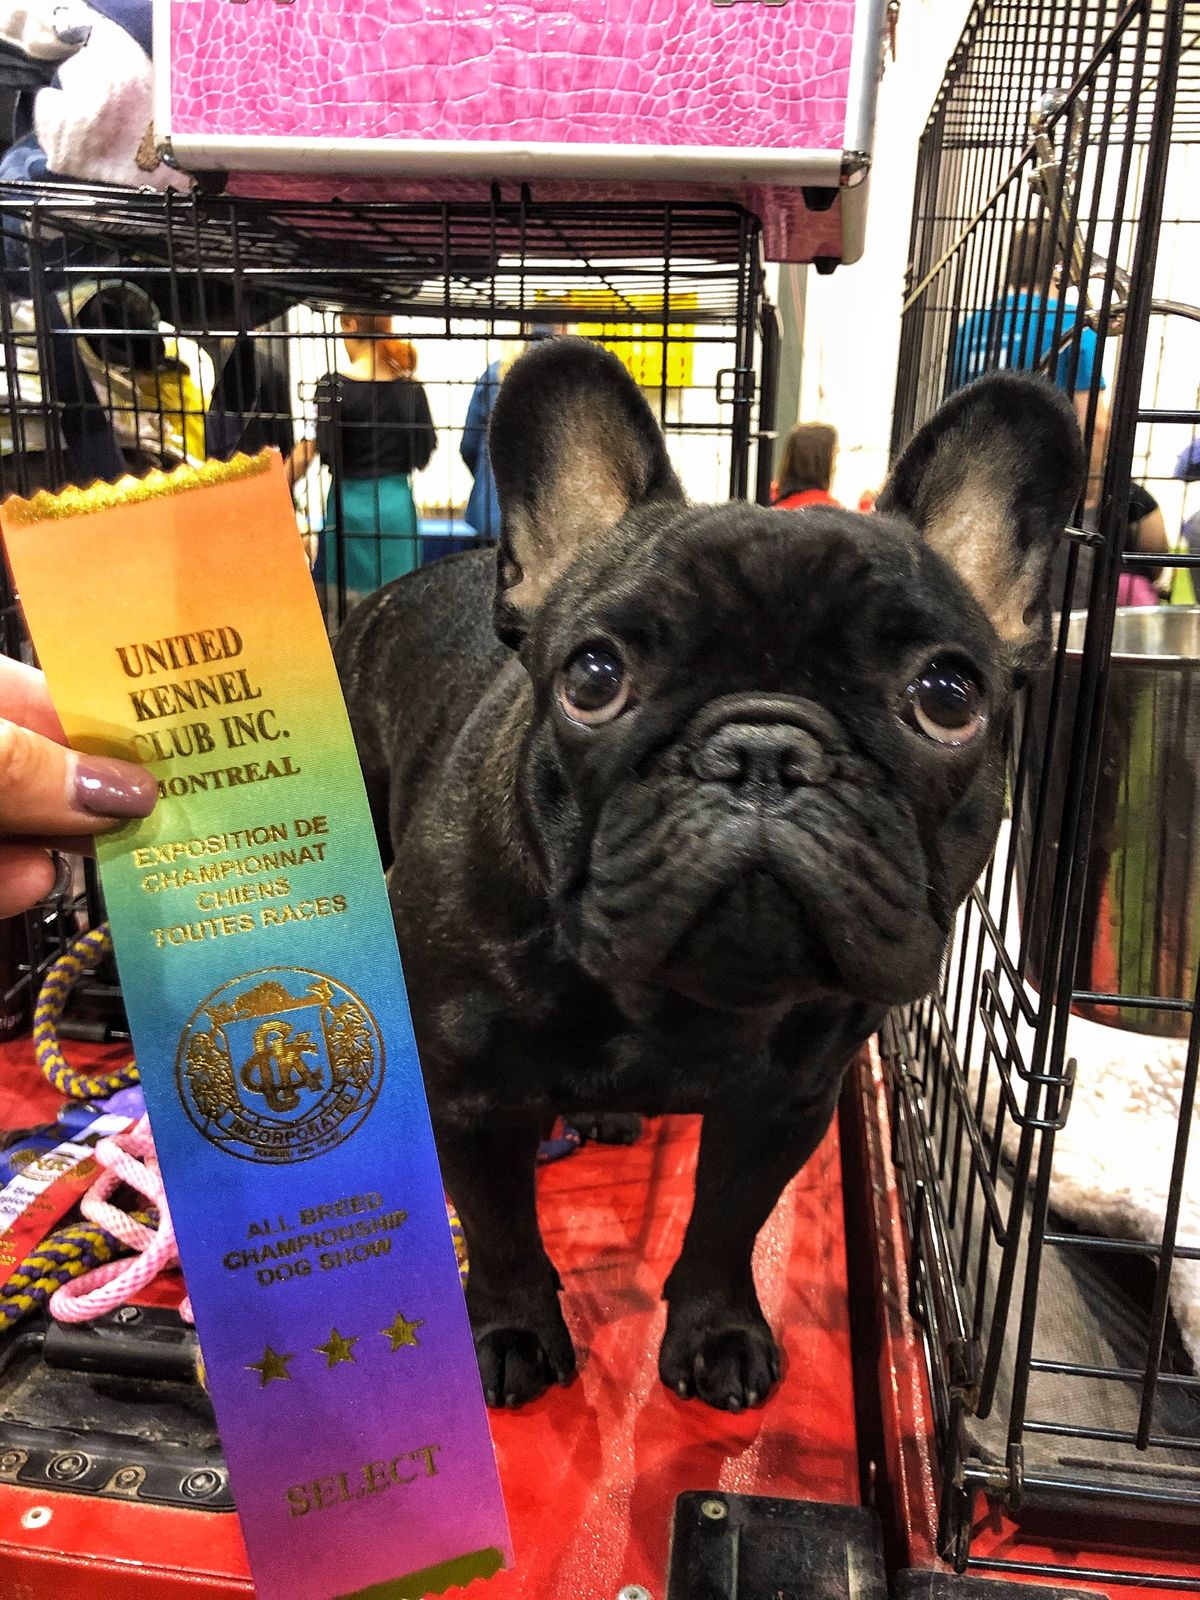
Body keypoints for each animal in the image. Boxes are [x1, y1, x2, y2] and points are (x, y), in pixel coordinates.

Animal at [335, 337, 1084, 1412]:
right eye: (593, 677)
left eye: (947, 697)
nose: (763, 749)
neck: (675, 1001)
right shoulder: (469, 1100)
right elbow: (503, 1231)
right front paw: (512, 1330)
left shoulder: (785, 1106)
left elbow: (727, 1227)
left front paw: (718, 1331)